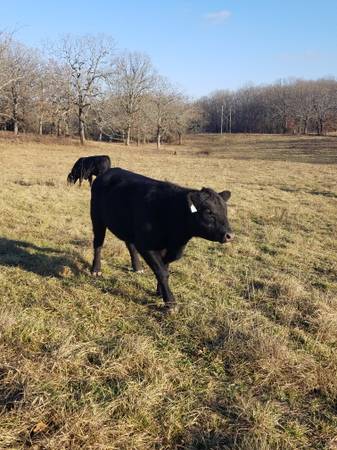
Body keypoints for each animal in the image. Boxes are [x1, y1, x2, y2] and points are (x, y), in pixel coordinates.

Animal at [90, 167, 234, 312]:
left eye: (226, 211)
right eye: (208, 212)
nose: (230, 235)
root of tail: (108, 171)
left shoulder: (167, 248)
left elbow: (165, 268)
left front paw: (160, 292)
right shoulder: (146, 246)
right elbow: (162, 271)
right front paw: (170, 303)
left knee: (129, 244)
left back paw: (137, 267)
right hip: (97, 219)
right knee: (98, 243)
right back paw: (96, 270)